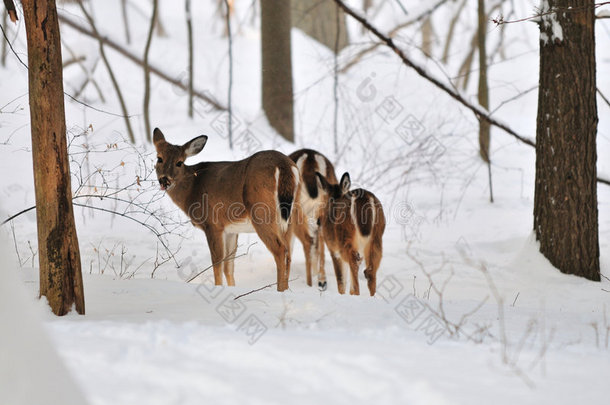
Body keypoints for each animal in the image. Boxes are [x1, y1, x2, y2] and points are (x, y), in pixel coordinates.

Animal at [152, 128, 300, 288]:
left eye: (179, 162)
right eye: (159, 158)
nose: (164, 180)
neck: (192, 189)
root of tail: (284, 165)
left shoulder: (213, 223)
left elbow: (217, 263)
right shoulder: (231, 229)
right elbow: (228, 266)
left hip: (262, 211)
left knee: (280, 250)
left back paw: (280, 290)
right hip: (293, 214)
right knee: (289, 252)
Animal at [288, 148, 338, 290]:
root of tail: (310, 158)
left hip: (296, 211)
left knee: (307, 242)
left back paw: (309, 284)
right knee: (320, 244)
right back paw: (322, 281)